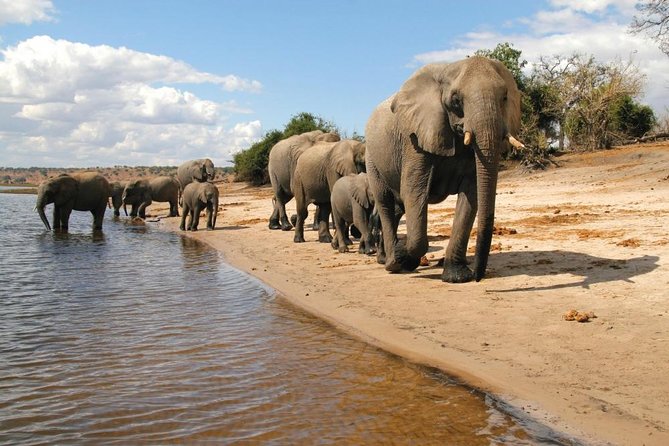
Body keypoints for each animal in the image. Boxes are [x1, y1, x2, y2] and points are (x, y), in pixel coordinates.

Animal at [366, 54, 520, 280]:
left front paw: (458, 278)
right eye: (455, 101)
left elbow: (471, 194)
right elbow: (414, 191)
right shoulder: (415, 140)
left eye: (505, 97)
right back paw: (392, 263)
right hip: (371, 159)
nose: (478, 276)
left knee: (397, 207)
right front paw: (404, 257)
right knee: (385, 202)